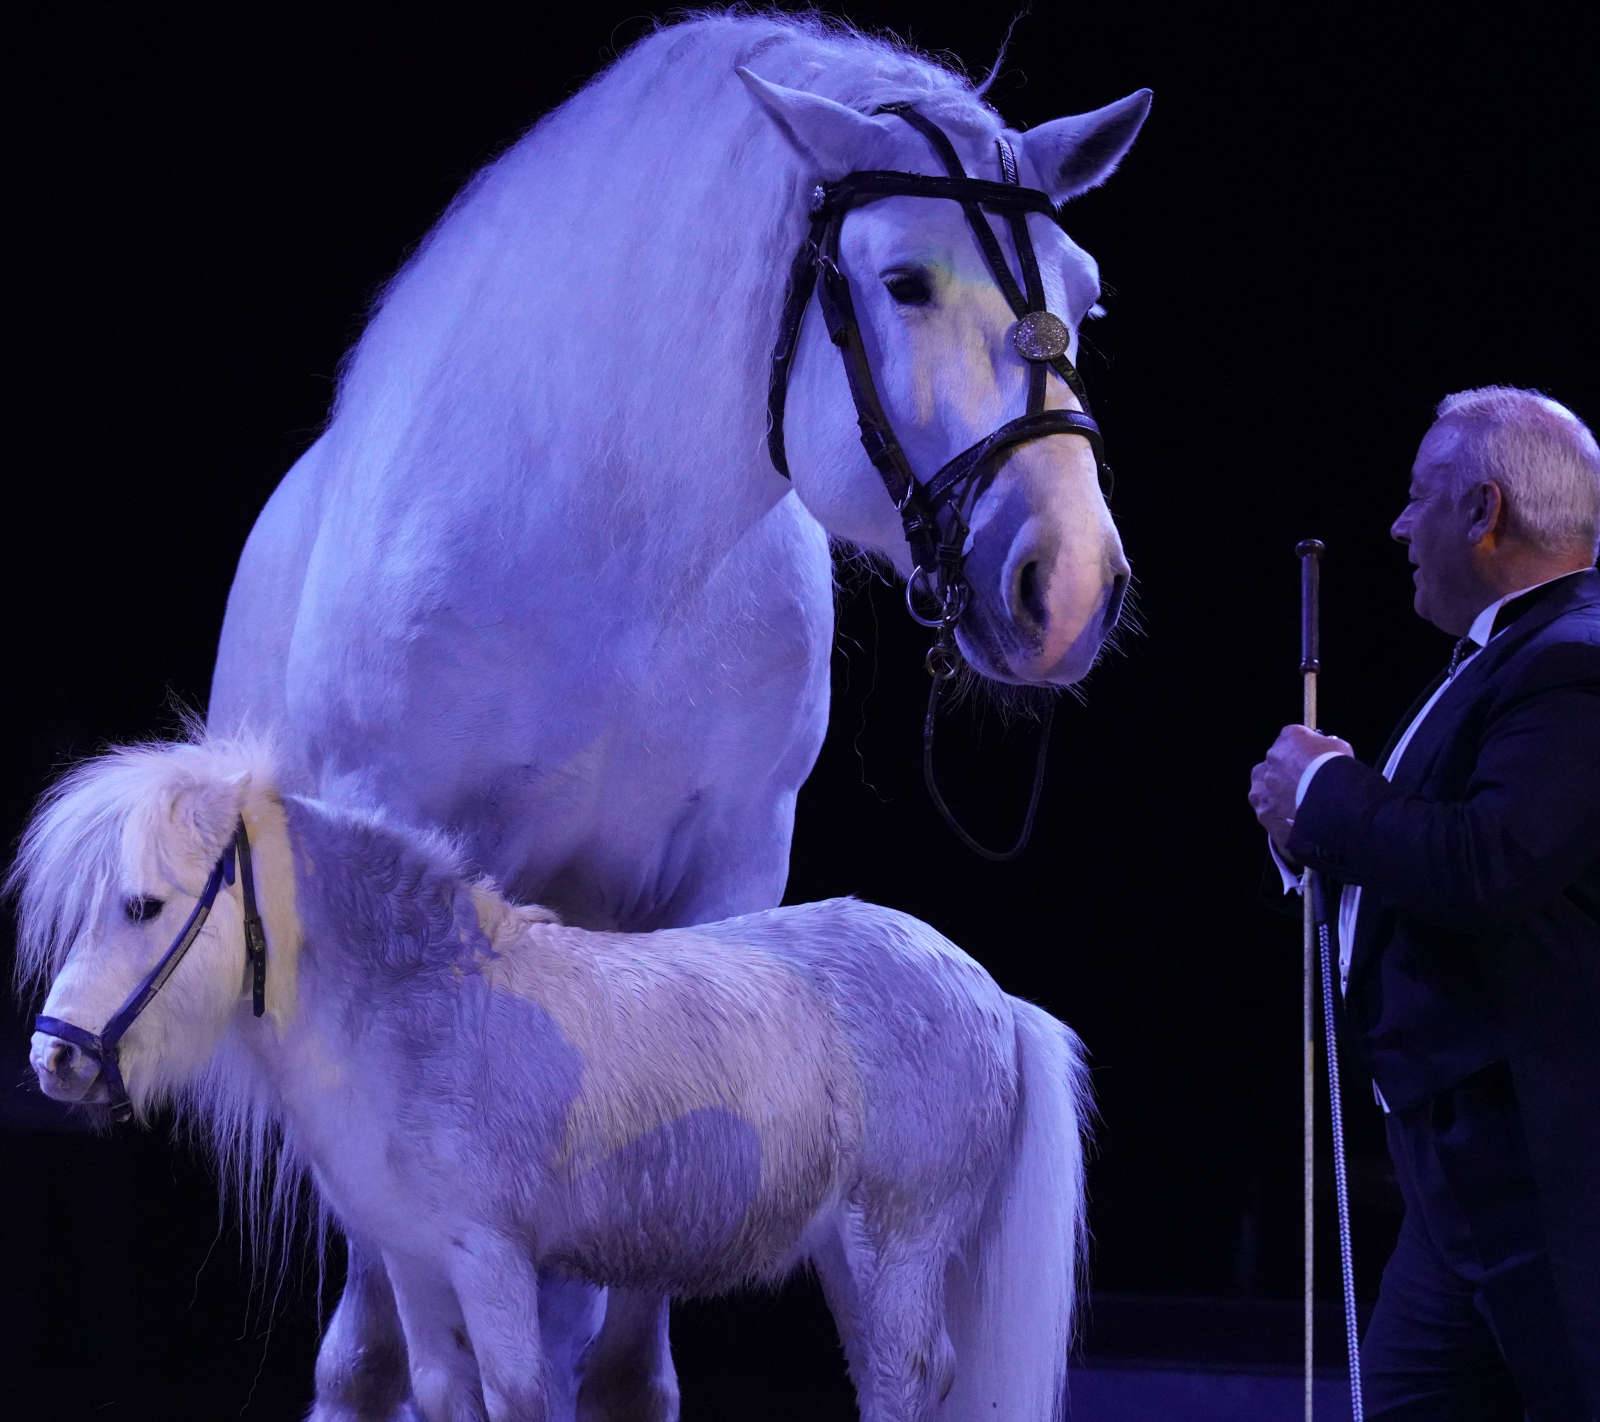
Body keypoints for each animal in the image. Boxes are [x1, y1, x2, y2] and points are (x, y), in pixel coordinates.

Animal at [16, 733, 1092, 1422]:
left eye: (144, 905)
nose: (54, 1057)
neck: (423, 1010)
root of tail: (989, 994)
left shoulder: (491, 1260)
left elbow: (520, 1399)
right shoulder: (412, 1262)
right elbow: (442, 1399)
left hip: (900, 1242)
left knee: (906, 1378)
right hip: (848, 1251)